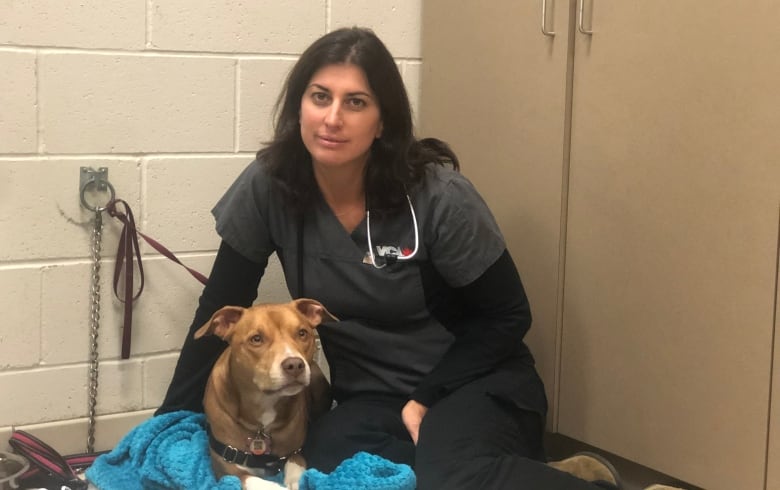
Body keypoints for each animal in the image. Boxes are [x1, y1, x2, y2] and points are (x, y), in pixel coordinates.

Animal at [195, 298, 336, 490]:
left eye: (302, 333)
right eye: (256, 339)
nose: (294, 365)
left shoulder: (295, 453)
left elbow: (296, 469)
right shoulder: (226, 469)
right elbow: (259, 482)